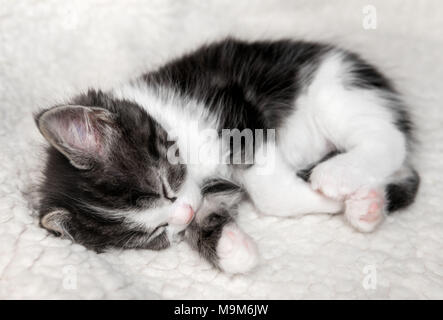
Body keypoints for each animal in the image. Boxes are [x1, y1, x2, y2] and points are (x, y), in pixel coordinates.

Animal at [34, 37, 420, 272]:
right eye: (156, 233)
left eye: (164, 188)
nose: (183, 214)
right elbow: (215, 207)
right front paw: (232, 249)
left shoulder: (238, 113)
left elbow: (268, 194)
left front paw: (326, 197)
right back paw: (368, 206)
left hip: (336, 90)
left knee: (389, 140)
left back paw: (339, 176)